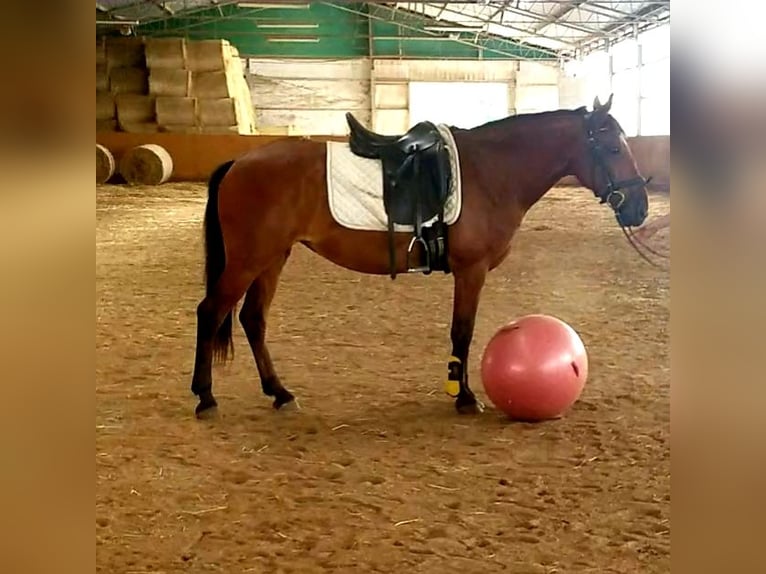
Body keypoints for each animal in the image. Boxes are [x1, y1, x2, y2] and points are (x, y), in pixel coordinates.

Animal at [189, 93, 652, 418]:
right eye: (613, 149)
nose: (639, 207)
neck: (492, 171)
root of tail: (238, 162)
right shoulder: (471, 271)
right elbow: (462, 331)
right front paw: (463, 396)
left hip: (273, 258)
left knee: (252, 319)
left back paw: (279, 392)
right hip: (250, 259)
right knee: (211, 311)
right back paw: (205, 396)